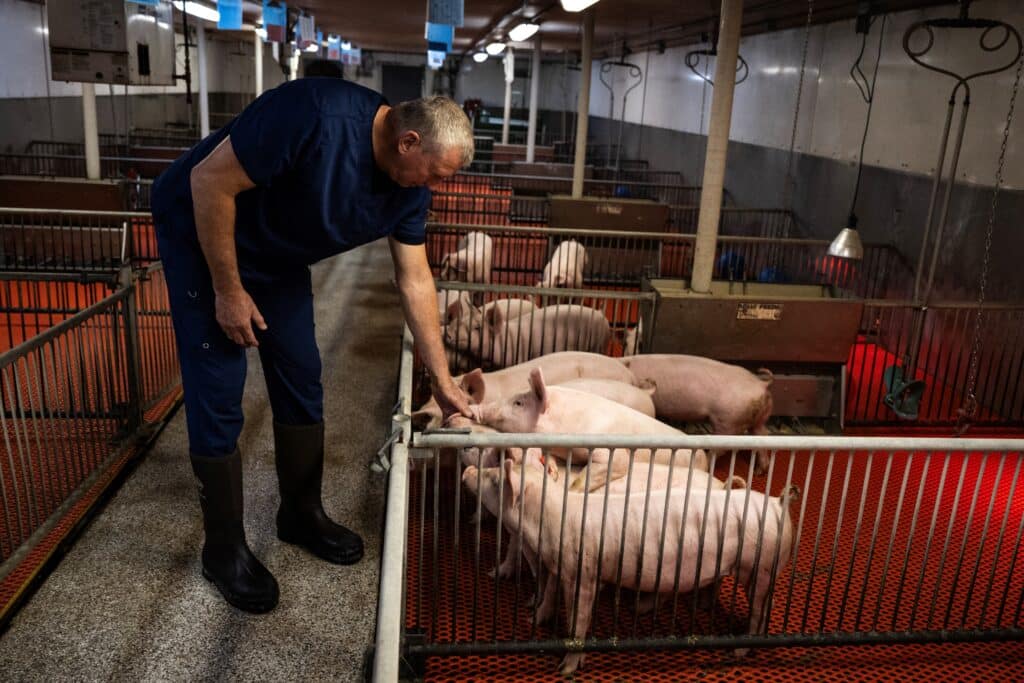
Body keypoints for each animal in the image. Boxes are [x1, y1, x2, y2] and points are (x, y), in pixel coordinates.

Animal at [444, 301, 610, 370]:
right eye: (460, 321)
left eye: (477, 327)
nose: (448, 334)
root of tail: (601, 313)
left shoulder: (518, 357)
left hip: (598, 344)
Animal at [475, 368, 708, 491]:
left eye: (518, 403)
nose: (477, 409)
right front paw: (553, 473)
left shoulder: (611, 452)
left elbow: (607, 467)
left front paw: (570, 489)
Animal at [614, 356, 774, 473]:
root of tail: (761, 385)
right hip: (759, 418)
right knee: (763, 434)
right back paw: (760, 471)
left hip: (728, 420)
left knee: (721, 448)